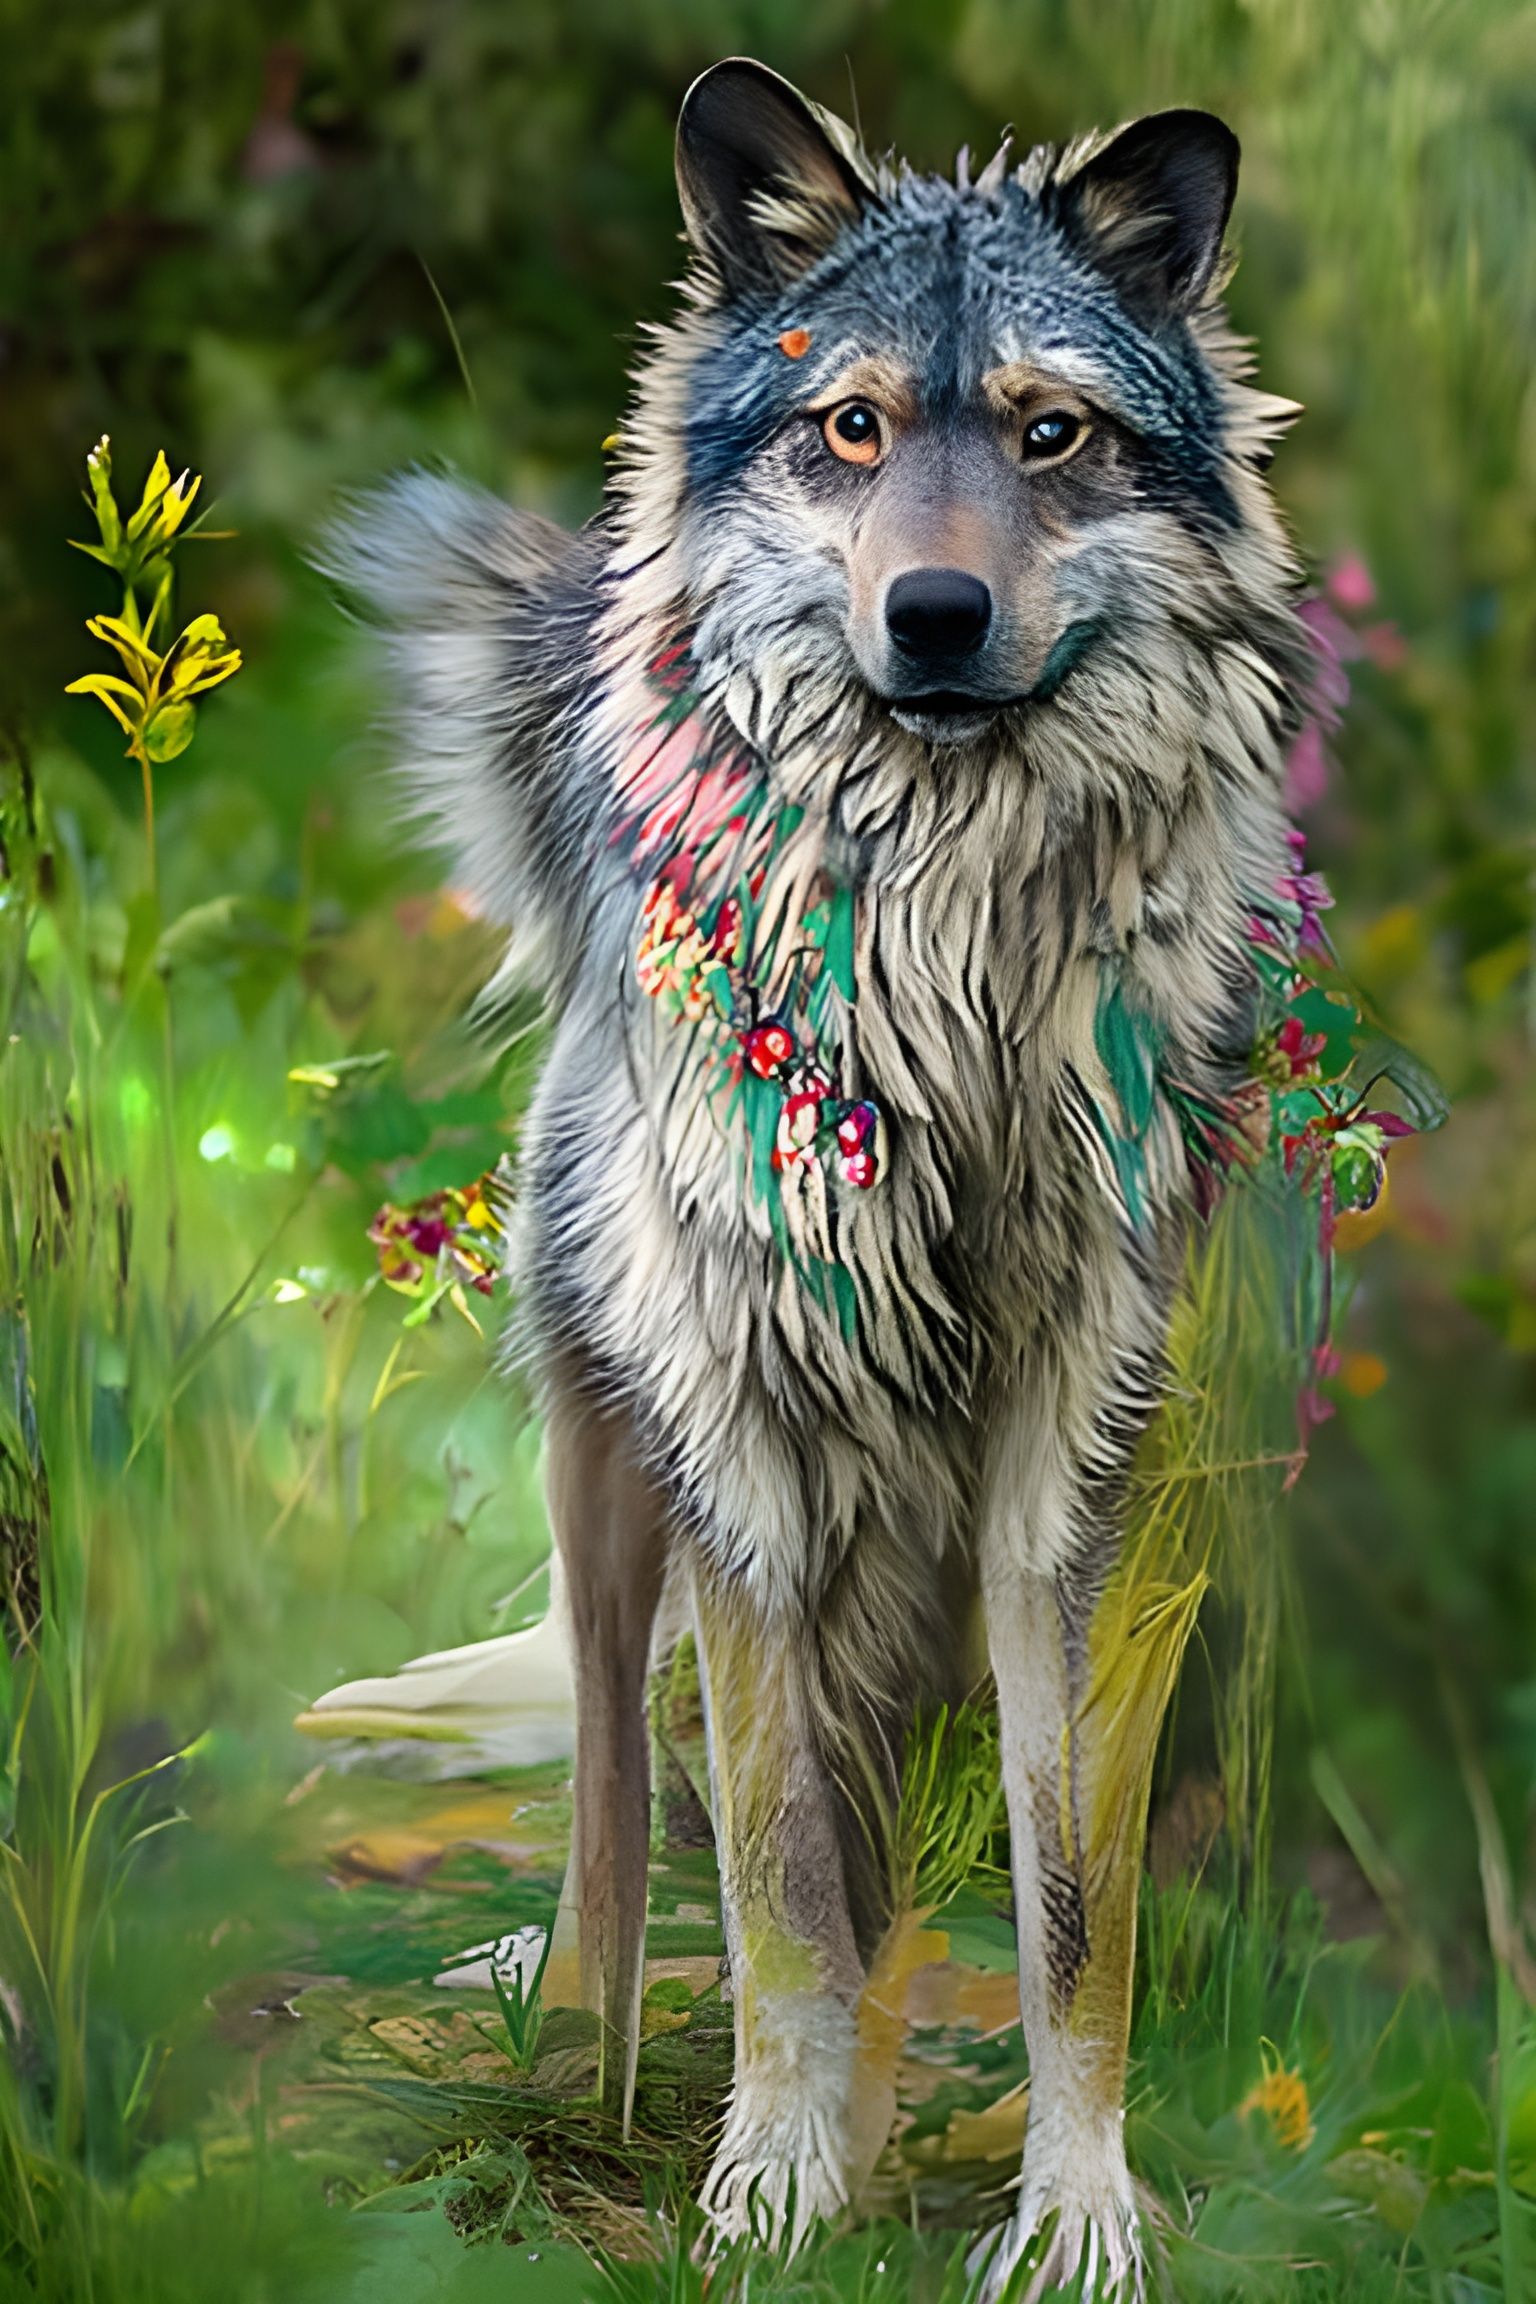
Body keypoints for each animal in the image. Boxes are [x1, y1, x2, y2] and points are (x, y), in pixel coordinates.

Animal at [326, 57, 1310, 2298]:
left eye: (1048, 431)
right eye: (850, 427)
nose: (935, 616)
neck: (943, 980)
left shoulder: (1073, 1487)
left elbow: (1069, 1908)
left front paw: (1074, 2210)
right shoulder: (751, 1463)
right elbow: (774, 1872)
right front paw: (769, 2189)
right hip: (612, 1477)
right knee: (622, 1812)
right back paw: (582, 2042)